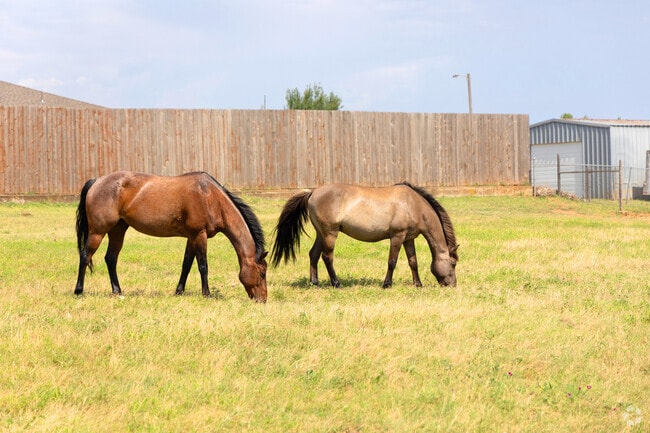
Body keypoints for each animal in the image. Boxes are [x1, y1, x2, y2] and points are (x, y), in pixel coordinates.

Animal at [74, 171, 268, 302]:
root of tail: (97, 181)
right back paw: (79, 291)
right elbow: (203, 266)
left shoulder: (192, 237)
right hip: (97, 232)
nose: (263, 299)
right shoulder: (199, 235)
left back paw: (117, 290)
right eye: (262, 272)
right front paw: (207, 294)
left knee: (111, 258)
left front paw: (179, 291)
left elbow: (186, 265)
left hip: (117, 230)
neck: (210, 196)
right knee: (85, 256)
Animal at [271, 182, 458, 288]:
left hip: (321, 233)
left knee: (314, 254)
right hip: (330, 233)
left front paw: (418, 284)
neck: (413, 204)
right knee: (327, 257)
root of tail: (312, 192)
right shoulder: (397, 237)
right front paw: (387, 284)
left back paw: (314, 283)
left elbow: (413, 262)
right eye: (453, 264)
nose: (453, 285)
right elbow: (392, 261)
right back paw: (336, 283)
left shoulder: (408, 238)